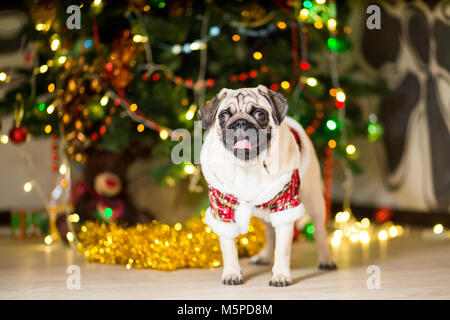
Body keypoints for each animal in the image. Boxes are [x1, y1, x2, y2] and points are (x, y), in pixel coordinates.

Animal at [199, 85, 336, 288]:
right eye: (223, 116)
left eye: (260, 114)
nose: (240, 122)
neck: (248, 165)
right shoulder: (221, 208)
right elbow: (228, 247)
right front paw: (232, 273)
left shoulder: (285, 205)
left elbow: (283, 250)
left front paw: (280, 275)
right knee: (270, 233)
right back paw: (263, 257)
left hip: (314, 200)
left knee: (319, 232)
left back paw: (326, 259)